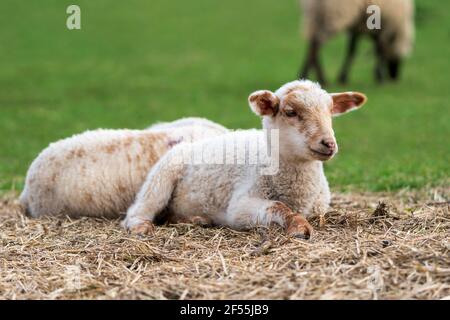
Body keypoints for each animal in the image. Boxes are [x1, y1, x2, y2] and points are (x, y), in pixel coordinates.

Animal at [123, 80, 366, 238]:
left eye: (331, 111)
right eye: (290, 112)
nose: (329, 144)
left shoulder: (319, 207)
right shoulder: (239, 206)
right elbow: (277, 206)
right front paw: (299, 227)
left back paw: (197, 220)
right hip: (159, 179)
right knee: (137, 211)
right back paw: (141, 227)